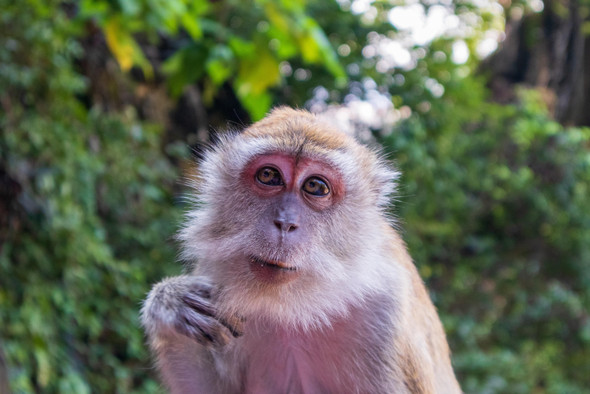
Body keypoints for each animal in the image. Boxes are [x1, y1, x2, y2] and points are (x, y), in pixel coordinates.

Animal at [142, 107, 462, 394]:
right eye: (269, 175)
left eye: (316, 187)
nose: (285, 223)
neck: (293, 305)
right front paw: (170, 303)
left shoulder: (386, 311)